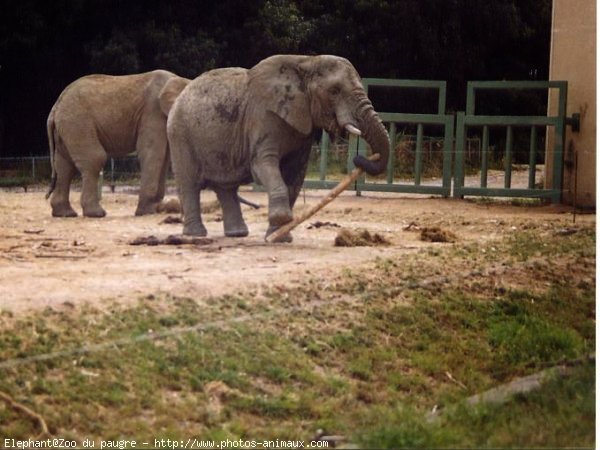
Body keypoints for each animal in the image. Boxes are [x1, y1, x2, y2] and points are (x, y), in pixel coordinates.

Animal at [47, 70, 190, 216]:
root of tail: (55, 107)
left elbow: (165, 157)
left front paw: (153, 209)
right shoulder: (152, 113)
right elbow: (152, 152)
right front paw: (146, 212)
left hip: (66, 128)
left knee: (64, 166)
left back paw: (65, 214)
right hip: (77, 123)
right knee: (95, 158)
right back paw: (97, 213)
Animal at [166, 55, 390, 243]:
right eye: (334, 91)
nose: (360, 159)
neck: (306, 62)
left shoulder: (302, 126)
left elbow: (295, 174)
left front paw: (280, 235)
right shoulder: (262, 116)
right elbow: (262, 165)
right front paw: (281, 221)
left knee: (225, 186)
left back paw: (237, 234)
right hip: (180, 133)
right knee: (190, 183)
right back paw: (195, 235)